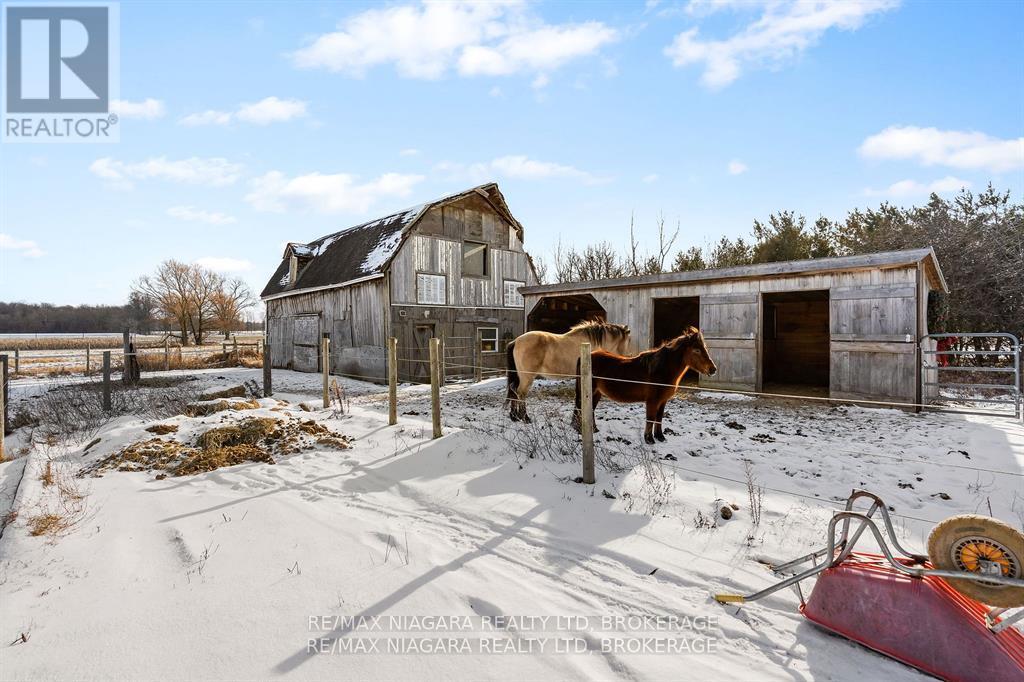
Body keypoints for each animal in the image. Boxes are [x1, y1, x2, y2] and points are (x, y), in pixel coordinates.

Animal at [573, 327, 716, 444]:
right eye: (697, 350)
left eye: (705, 348)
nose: (713, 369)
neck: (660, 370)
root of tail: (585, 356)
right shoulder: (652, 401)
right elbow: (651, 418)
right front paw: (649, 439)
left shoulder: (663, 401)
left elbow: (659, 418)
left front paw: (660, 437)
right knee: (581, 409)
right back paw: (581, 430)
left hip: (596, 393)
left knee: (590, 409)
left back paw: (593, 429)